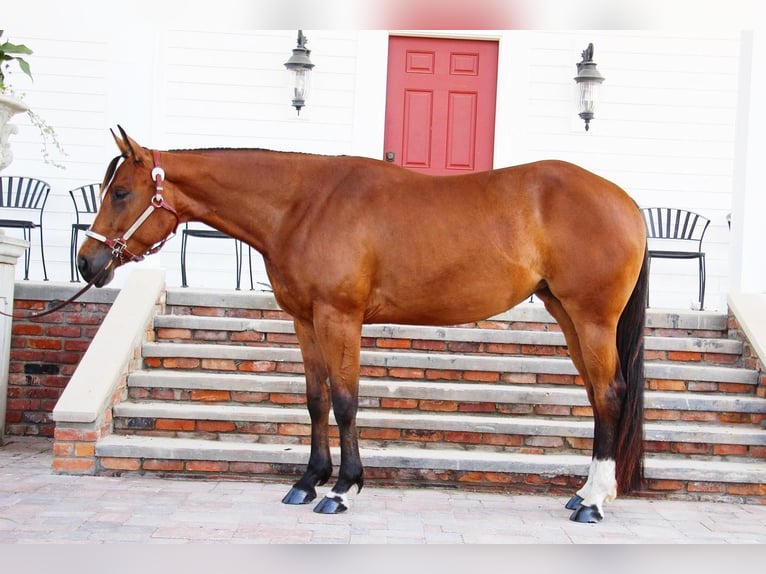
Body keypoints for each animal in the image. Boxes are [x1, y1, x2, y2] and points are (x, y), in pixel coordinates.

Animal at [81, 127, 648, 528]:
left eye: (122, 193)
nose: (88, 263)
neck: (303, 205)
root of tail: (626, 202)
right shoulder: (305, 319)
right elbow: (316, 400)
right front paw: (308, 482)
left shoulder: (340, 317)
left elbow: (346, 400)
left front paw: (342, 490)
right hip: (567, 315)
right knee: (597, 395)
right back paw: (583, 493)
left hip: (592, 319)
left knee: (609, 394)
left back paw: (594, 502)